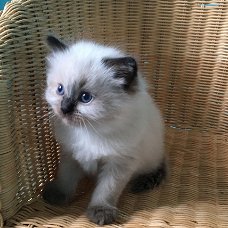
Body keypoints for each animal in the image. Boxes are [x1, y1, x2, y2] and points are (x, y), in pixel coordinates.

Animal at [43, 35, 167, 224]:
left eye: (85, 97)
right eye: (60, 89)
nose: (64, 108)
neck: (90, 130)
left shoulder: (118, 163)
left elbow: (106, 191)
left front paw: (100, 212)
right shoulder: (71, 155)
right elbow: (66, 179)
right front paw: (57, 195)